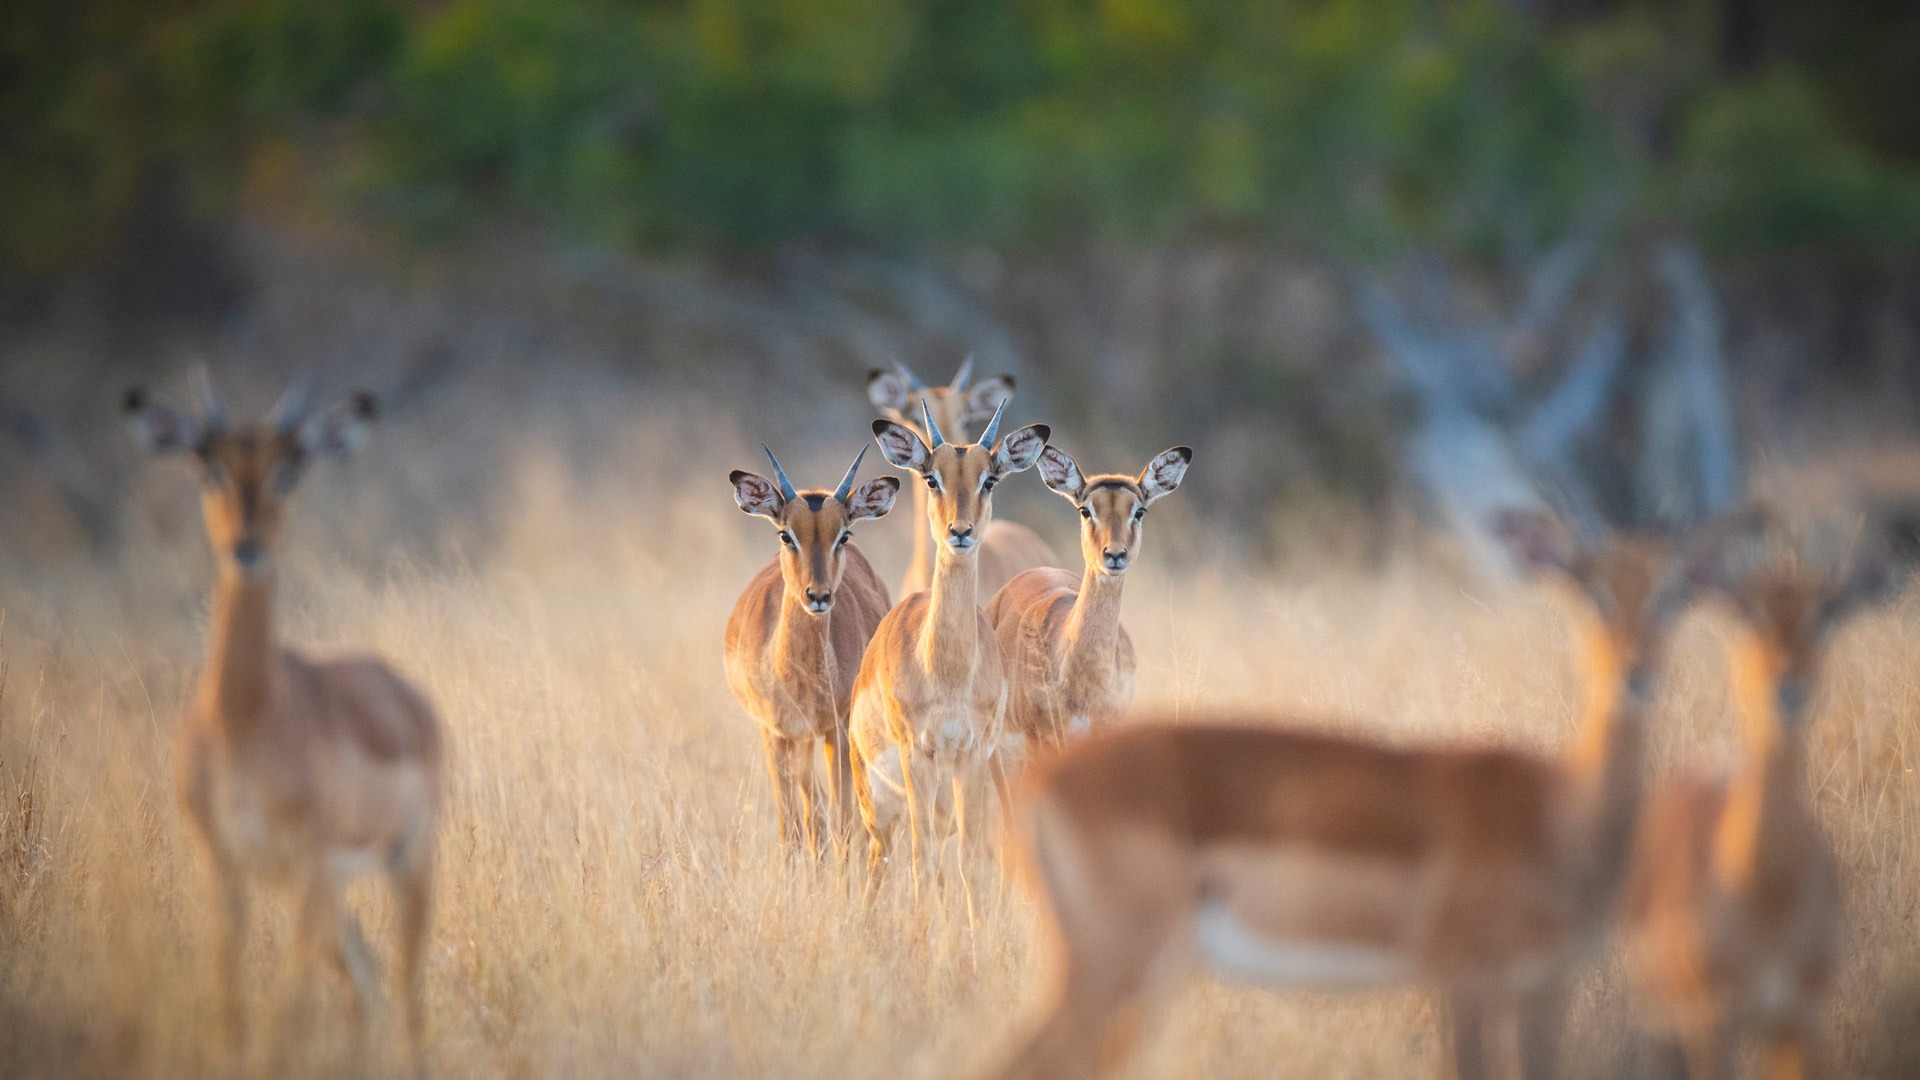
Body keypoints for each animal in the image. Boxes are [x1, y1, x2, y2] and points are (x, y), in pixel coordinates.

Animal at [125, 373, 441, 1078]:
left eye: (290, 468)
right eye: (208, 465)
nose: (247, 547)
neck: (246, 719)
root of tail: (406, 693)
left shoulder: (311, 870)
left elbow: (281, 1012)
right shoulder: (220, 867)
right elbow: (233, 1010)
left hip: (404, 863)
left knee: (405, 994)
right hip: (333, 891)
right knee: (365, 986)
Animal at [724, 446, 898, 856]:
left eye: (843, 534)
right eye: (786, 534)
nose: (818, 596)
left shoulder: (838, 728)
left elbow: (843, 823)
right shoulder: (776, 733)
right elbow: (792, 828)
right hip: (798, 742)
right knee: (810, 816)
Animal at [848, 400, 1049, 908]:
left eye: (989, 478)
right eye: (931, 478)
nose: (961, 531)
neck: (947, 672)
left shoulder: (971, 755)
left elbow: (970, 863)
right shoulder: (917, 753)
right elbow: (921, 862)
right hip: (878, 802)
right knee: (880, 859)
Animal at [1622, 512, 1918, 1080]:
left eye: (1828, 611)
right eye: (1745, 609)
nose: (1788, 682)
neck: (1764, 890)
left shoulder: (1799, 1018)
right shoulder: (1711, 1023)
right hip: (1662, 1023)